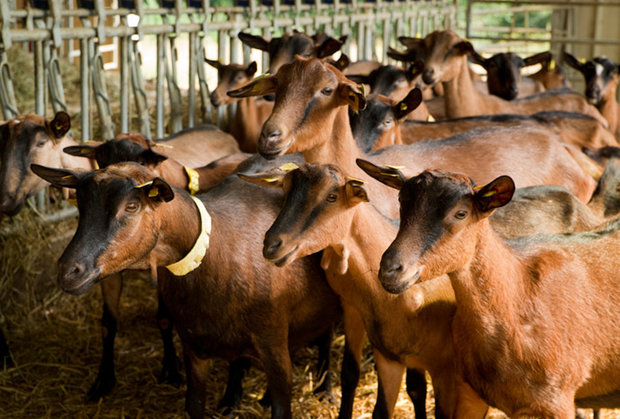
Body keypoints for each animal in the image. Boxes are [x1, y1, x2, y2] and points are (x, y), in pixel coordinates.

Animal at [31, 163, 342, 419]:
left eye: (131, 206)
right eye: (81, 207)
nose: (68, 271)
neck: (214, 253)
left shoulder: (273, 343)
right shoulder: (194, 346)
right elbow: (194, 405)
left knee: (326, 335)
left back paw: (324, 389)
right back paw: (233, 400)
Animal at [364, 163, 620, 419]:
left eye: (461, 213)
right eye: (401, 200)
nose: (390, 269)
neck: (519, 294)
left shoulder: (556, 401)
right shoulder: (469, 393)